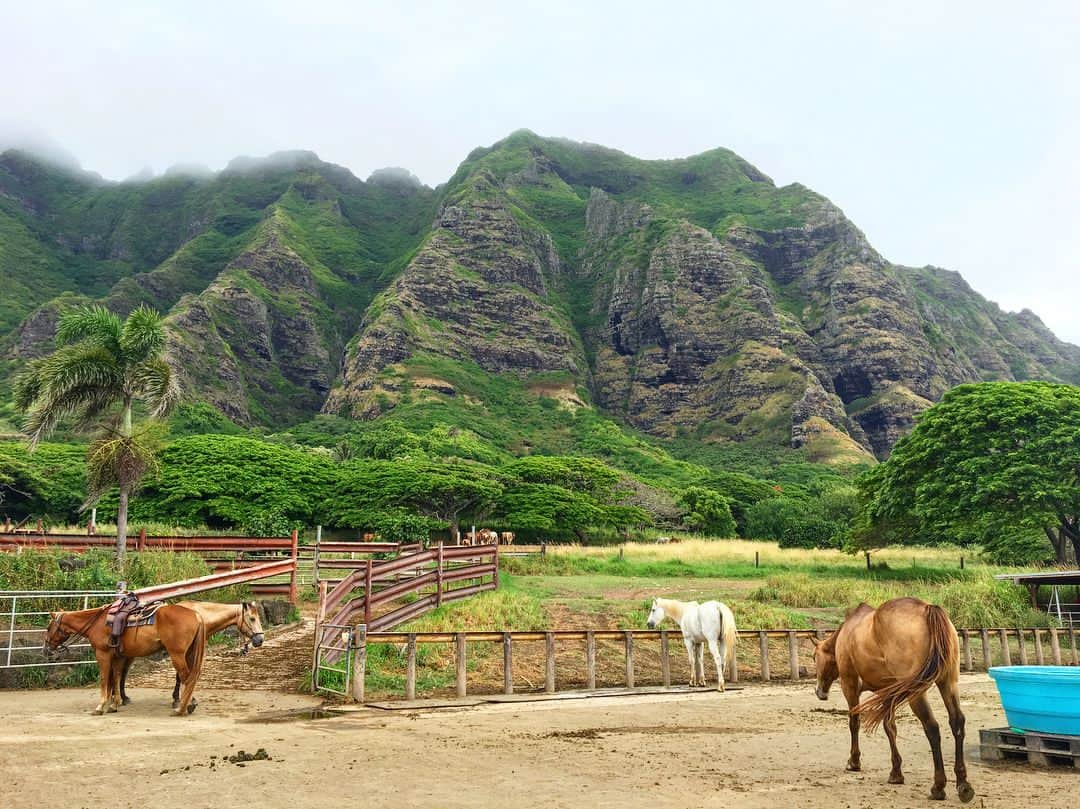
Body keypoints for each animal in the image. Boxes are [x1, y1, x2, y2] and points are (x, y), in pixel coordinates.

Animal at [117, 600, 264, 708]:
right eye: (252, 618)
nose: (260, 640)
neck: (200, 614)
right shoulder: (182, 652)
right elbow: (181, 675)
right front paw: (178, 700)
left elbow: (181, 675)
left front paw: (177, 698)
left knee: (122, 673)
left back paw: (123, 698)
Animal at [812, 591, 980, 803]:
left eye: (814, 657)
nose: (819, 692)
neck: (848, 632)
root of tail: (927, 609)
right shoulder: (889, 692)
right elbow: (889, 727)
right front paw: (896, 772)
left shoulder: (850, 687)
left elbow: (854, 722)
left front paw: (854, 761)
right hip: (948, 683)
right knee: (957, 721)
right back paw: (963, 784)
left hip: (917, 693)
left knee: (932, 728)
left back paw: (938, 786)